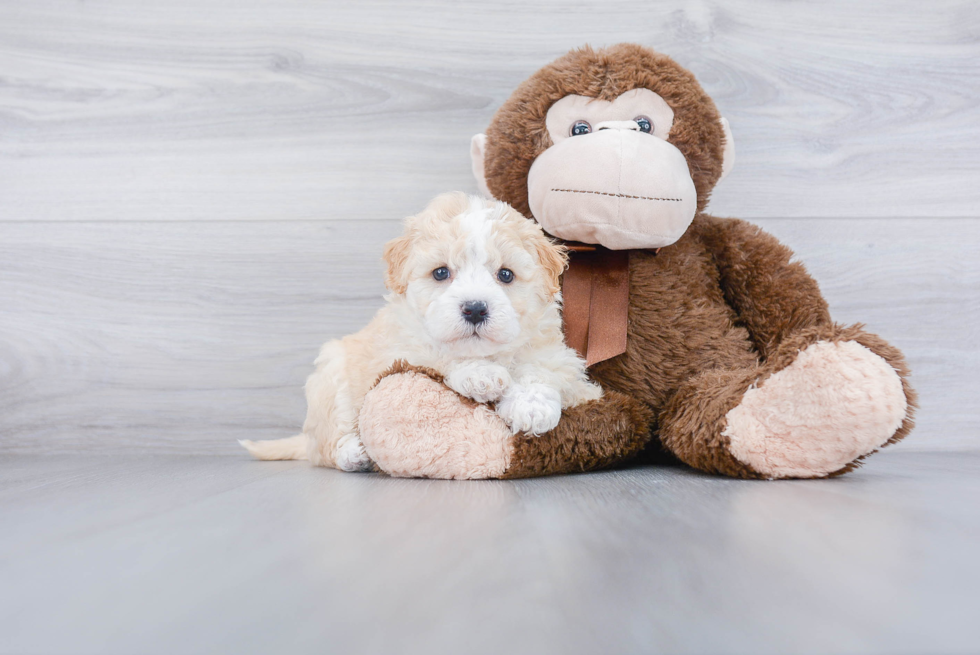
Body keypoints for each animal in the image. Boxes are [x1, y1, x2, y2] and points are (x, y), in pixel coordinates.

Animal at [241, 191, 600, 472]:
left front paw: (531, 406)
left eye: (506, 275)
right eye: (440, 273)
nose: (475, 308)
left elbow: (540, 369)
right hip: (331, 381)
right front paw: (480, 374)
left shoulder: (558, 356)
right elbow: (439, 354)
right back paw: (353, 453)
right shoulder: (401, 347)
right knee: (326, 444)